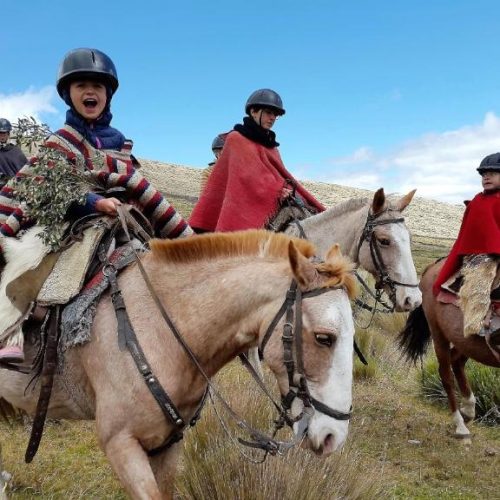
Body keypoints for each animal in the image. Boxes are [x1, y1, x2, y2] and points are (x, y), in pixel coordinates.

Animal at [396, 258, 498, 438]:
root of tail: (435, 265)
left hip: (467, 342)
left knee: (456, 362)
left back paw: (468, 409)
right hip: (438, 333)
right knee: (446, 373)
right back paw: (460, 424)